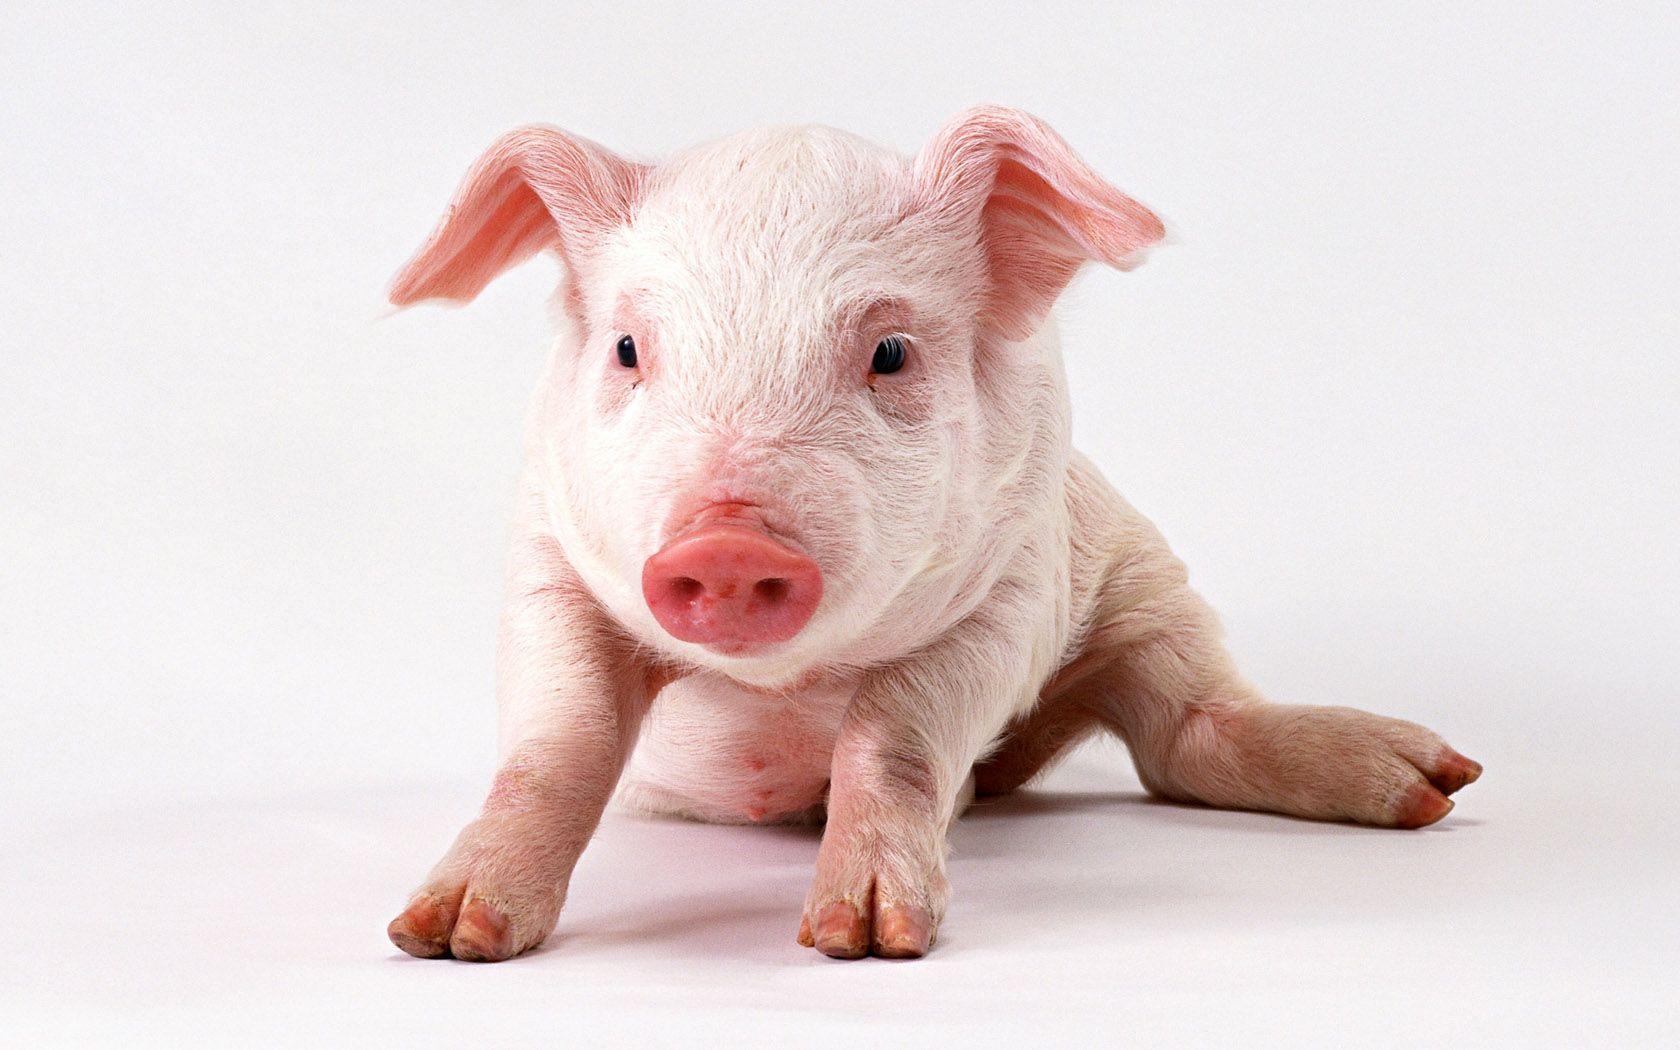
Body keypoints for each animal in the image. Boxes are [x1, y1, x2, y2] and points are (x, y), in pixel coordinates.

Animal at [384, 106, 1482, 962]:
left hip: (1143, 576)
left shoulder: (1017, 584)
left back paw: (1435, 784)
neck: (778, 693)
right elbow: (556, 740)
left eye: (890, 352)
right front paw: (443, 936)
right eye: (625, 349)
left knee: (1185, 730)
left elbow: (895, 737)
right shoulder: (546, 563)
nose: (727, 545)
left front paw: (863, 941)